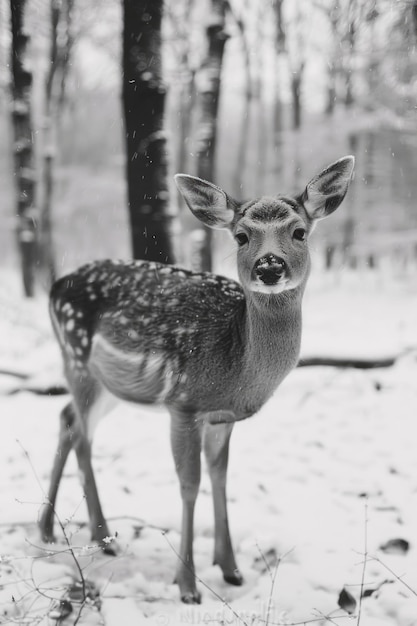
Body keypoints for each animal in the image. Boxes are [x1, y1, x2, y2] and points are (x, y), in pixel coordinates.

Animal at [37, 155, 352, 600]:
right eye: (241, 236)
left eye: (299, 232)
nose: (269, 266)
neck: (236, 365)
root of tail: (55, 286)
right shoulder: (184, 404)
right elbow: (190, 482)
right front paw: (187, 585)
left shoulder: (222, 416)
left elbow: (220, 475)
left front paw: (231, 568)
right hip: (76, 358)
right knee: (81, 431)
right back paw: (91, 535)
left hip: (107, 382)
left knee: (67, 418)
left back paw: (62, 531)